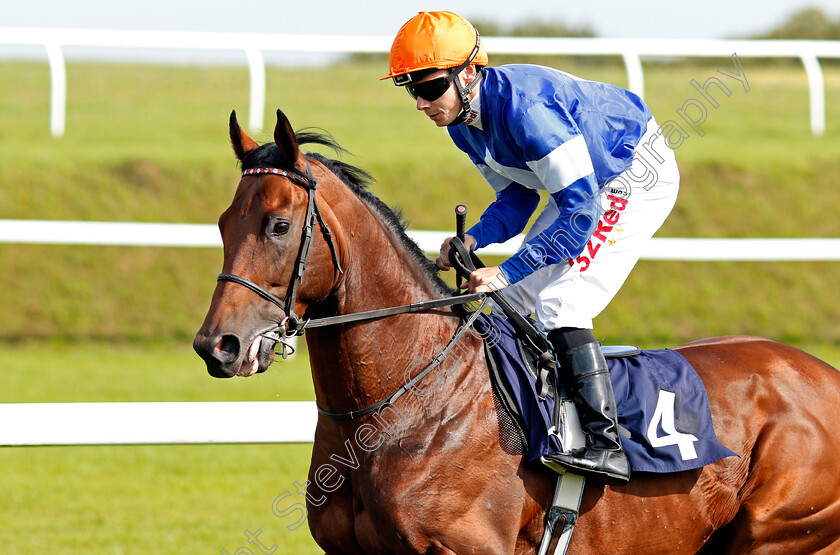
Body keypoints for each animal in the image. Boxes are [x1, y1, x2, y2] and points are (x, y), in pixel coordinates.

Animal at [194, 109, 840, 555]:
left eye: (278, 225)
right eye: (223, 222)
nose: (216, 345)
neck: (406, 402)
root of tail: (825, 374)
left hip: (779, 534)